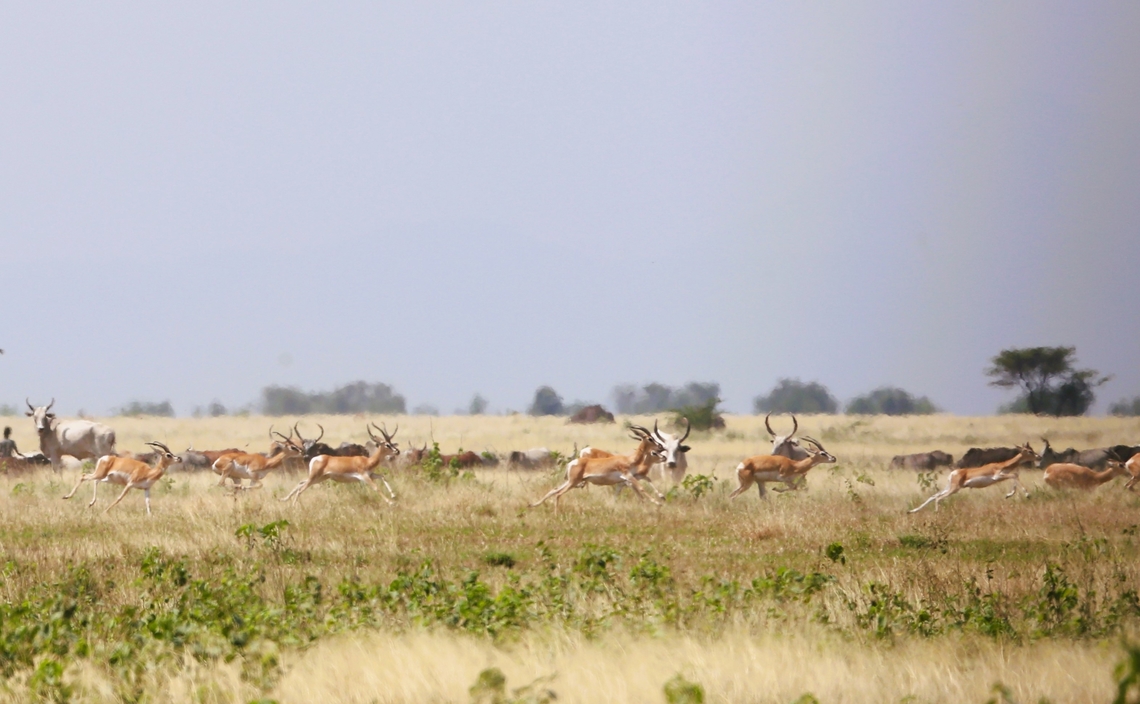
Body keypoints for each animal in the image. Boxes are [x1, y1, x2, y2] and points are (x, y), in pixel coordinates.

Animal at [530, 426, 665, 510]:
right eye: (650, 438)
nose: (661, 447)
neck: (630, 460)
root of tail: (572, 462)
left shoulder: (626, 480)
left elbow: (638, 493)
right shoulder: (628, 476)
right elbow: (641, 488)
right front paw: (658, 503)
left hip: (571, 481)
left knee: (554, 490)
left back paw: (532, 505)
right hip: (573, 482)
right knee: (558, 494)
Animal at [909, 442, 1038, 514]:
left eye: (1032, 449)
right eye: (1028, 451)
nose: (1038, 456)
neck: (1001, 465)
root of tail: (954, 472)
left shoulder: (1002, 477)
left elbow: (1015, 477)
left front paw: (1008, 495)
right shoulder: (998, 476)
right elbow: (1015, 475)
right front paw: (1027, 495)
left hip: (949, 487)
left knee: (933, 496)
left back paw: (912, 511)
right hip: (954, 489)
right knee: (938, 498)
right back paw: (936, 512)